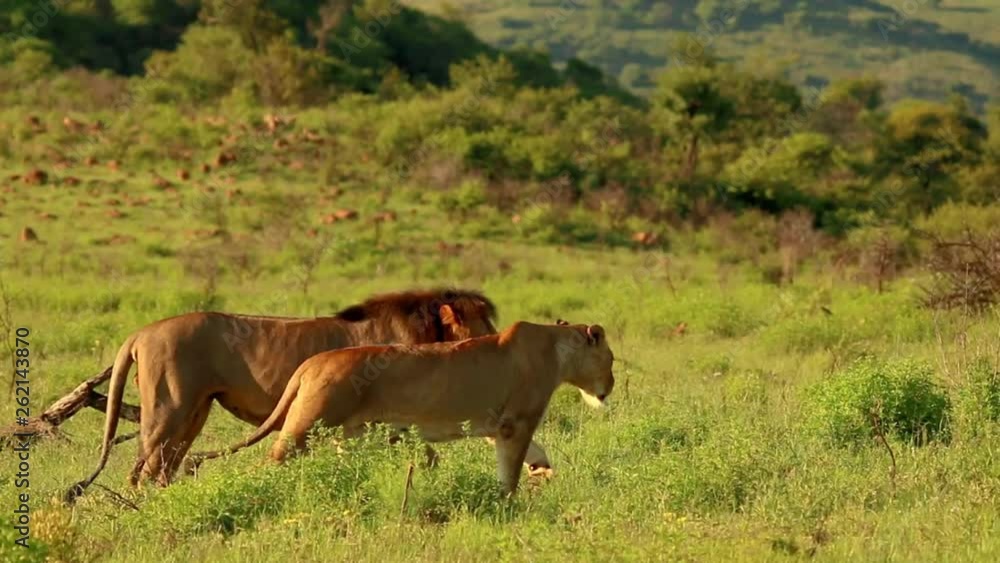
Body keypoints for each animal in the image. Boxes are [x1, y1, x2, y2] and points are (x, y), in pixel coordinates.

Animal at [67, 289, 554, 500]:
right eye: (487, 329)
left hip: (194, 413)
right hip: (169, 409)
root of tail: (140, 333)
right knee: (144, 468)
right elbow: (432, 455)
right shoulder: (398, 416)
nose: (505, 348)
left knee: (164, 466)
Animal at [193, 321, 615, 494]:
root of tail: (311, 363)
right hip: (306, 426)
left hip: (349, 437)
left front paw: (540, 468)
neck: (558, 351)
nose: (610, 386)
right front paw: (507, 500)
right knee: (269, 462)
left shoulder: (494, 424)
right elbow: (508, 471)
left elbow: (534, 452)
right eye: (611, 359)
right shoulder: (515, 422)